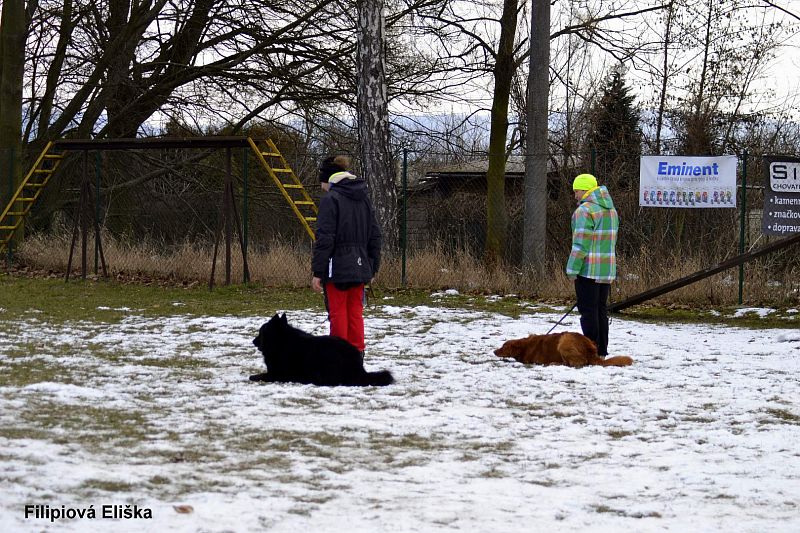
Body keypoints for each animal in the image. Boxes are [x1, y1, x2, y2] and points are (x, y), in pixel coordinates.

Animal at [494, 330, 632, 368]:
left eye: (503, 346)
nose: (494, 351)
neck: (525, 346)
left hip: (564, 341)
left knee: (575, 363)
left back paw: (554, 363)